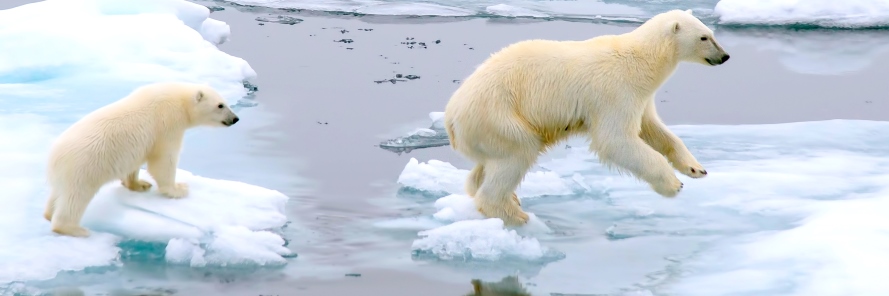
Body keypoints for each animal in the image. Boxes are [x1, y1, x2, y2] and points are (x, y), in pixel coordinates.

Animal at [44, 82, 239, 237]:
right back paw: (74, 229)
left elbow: (135, 164)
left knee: (57, 194)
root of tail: (53, 157)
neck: (178, 99)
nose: (235, 119)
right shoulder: (168, 123)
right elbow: (163, 160)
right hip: (83, 167)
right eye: (220, 105)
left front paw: (140, 184)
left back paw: (48, 214)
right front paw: (179, 189)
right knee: (75, 198)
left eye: (225, 103)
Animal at [442, 9, 728, 227]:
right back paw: (516, 215)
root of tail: (451, 118)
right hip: (499, 116)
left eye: (713, 33)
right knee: (518, 152)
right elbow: (615, 140)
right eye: (704, 37)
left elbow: (653, 129)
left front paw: (696, 168)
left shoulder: (641, 97)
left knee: (487, 165)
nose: (724, 56)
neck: (641, 60)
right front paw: (673, 184)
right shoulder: (615, 91)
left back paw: (507, 198)